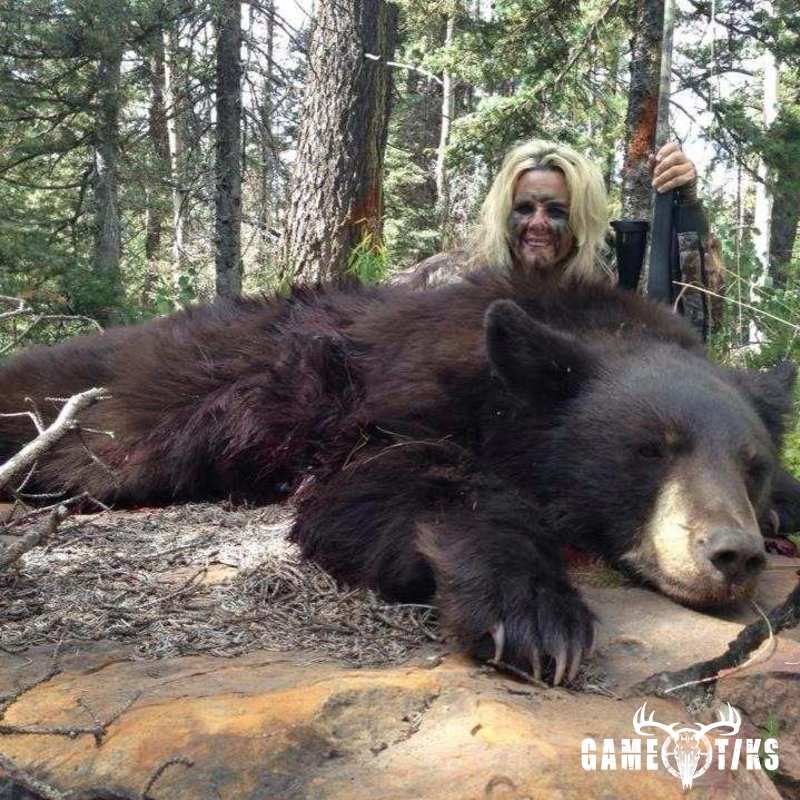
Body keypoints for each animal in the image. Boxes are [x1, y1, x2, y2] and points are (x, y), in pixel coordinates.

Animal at [1, 268, 798, 685]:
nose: (733, 553)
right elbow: (387, 488)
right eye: (651, 449)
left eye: (753, 466)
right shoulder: (386, 405)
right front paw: (534, 614)